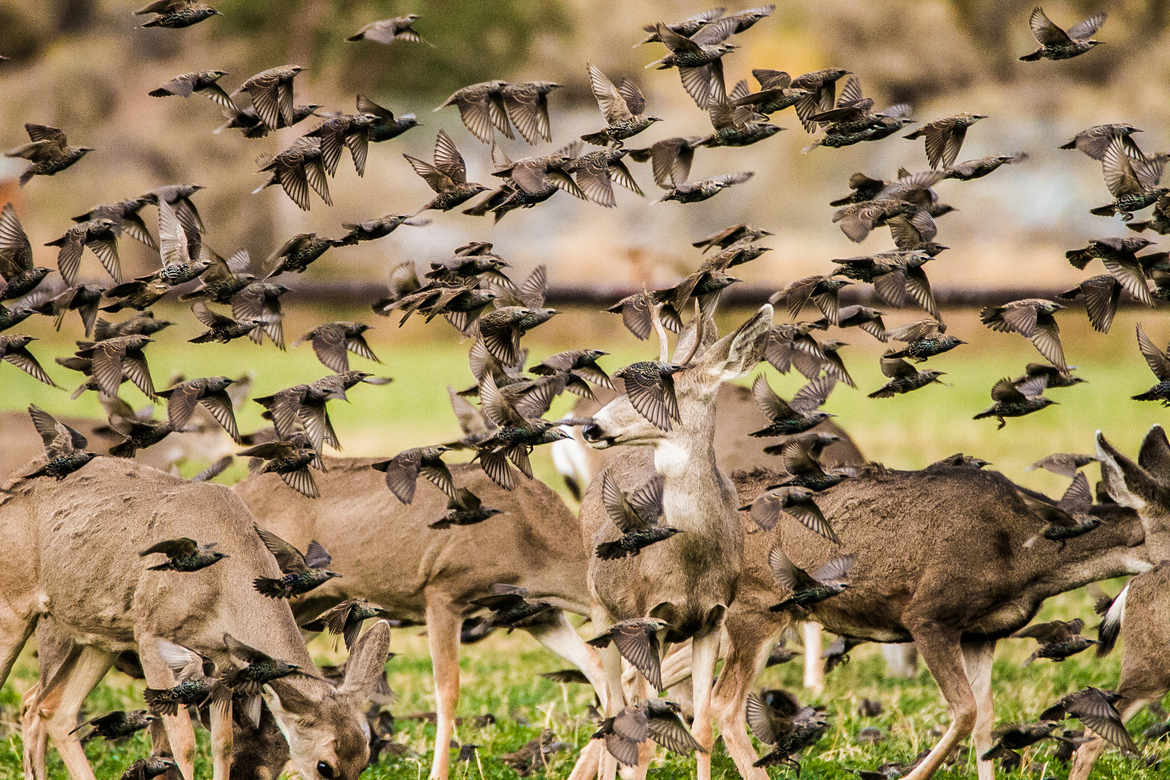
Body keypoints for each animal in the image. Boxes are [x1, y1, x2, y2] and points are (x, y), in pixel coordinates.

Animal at [0, 457, 392, 780]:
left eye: (364, 759)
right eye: (325, 766)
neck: (221, 581)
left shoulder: (221, 660)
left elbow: (222, 742)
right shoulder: (149, 634)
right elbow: (183, 744)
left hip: (100, 636)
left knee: (54, 708)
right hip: (14, 609)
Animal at [231, 457, 610, 780]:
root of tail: (237, 488)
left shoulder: (538, 615)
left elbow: (597, 669)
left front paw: (583, 770)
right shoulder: (443, 594)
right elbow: (448, 690)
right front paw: (437, 773)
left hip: (309, 606)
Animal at [568, 302, 775, 780]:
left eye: (663, 389)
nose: (592, 426)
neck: (690, 561)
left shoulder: (712, 620)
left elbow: (702, 730)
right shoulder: (647, 619)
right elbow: (642, 740)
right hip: (602, 609)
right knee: (613, 706)